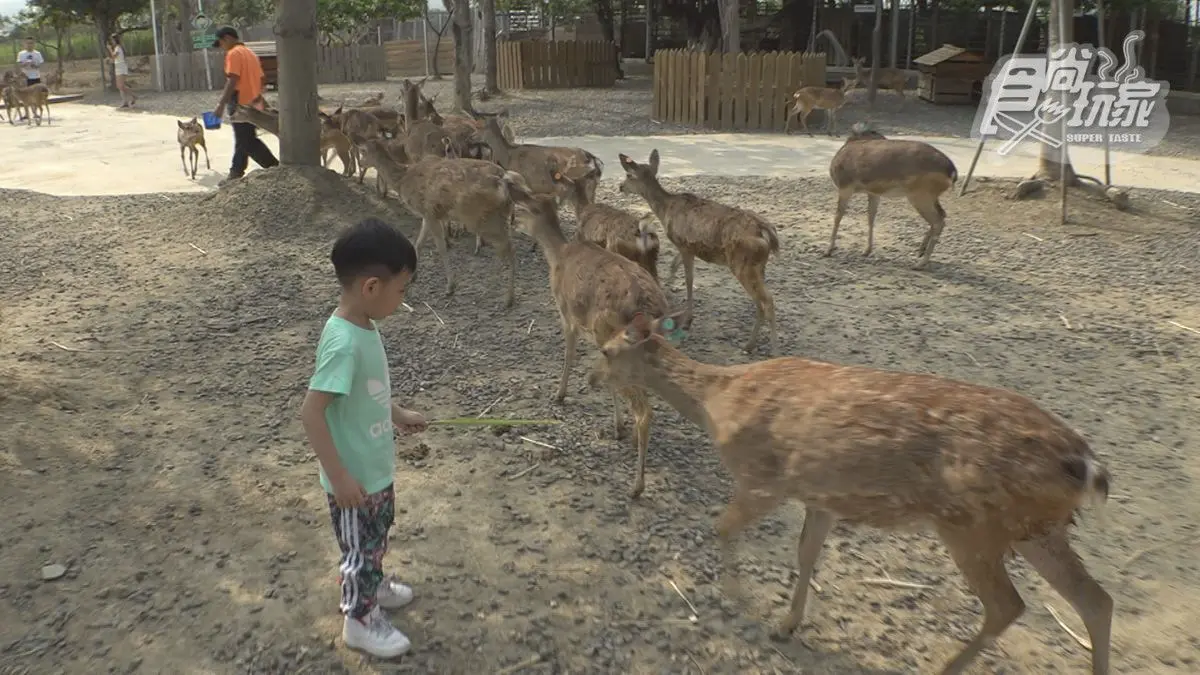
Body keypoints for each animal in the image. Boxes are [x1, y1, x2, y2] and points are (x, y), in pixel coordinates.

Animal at [360, 138, 527, 309]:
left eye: (363, 151)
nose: (360, 163)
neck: (403, 180)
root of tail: (505, 179)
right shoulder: (428, 214)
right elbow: (418, 243)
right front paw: (413, 277)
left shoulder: (430, 212)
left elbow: (441, 247)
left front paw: (450, 287)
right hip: (499, 215)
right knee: (506, 248)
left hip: (480, 217)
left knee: (507, 249)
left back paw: (504, 297)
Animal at [508, 186, 672, 499]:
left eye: (523, 208)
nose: (511, 222)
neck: (558, 256)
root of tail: (651, 309)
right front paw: (618, 426)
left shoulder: (566, 313)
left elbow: (569, 354)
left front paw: (559, 395)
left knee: (645, 411)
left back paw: (637, 486)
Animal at [590, 310, 1113, 675]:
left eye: (607, 350)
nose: (595, 378)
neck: (718, 403)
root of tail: (1088, 465)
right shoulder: (821, 497)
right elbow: (805, 553)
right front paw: (787, 624)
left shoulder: (763, 480)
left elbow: (722, 527)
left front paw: (738, 598)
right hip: (1036, 527)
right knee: (1096, 600)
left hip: (972, 525)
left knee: (1009, 605)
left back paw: (945, 667)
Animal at [618, 150, 779, 355]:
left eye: (629, 175)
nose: (620, 186)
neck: (665, 210)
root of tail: (766, 232)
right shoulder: (685, 246)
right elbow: (674, 265)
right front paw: (668, 292)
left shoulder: (684, 244)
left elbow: (689, 280)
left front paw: (687, 319)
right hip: (758, 265)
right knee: (760, 301)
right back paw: (749, 345)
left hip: (742, 263)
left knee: (767, 301)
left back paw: (773, 351)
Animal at [826, 123, 958, 270]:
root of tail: (952, 171)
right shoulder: (873, 192)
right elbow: (871, 217)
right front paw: (867, 251)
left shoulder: (845, 186)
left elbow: (838, 216)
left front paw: (828, 251)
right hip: (931, 196)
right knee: (942, 214)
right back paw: (920, 251)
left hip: (919, 195)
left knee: (937, 221)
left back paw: (919, 263)